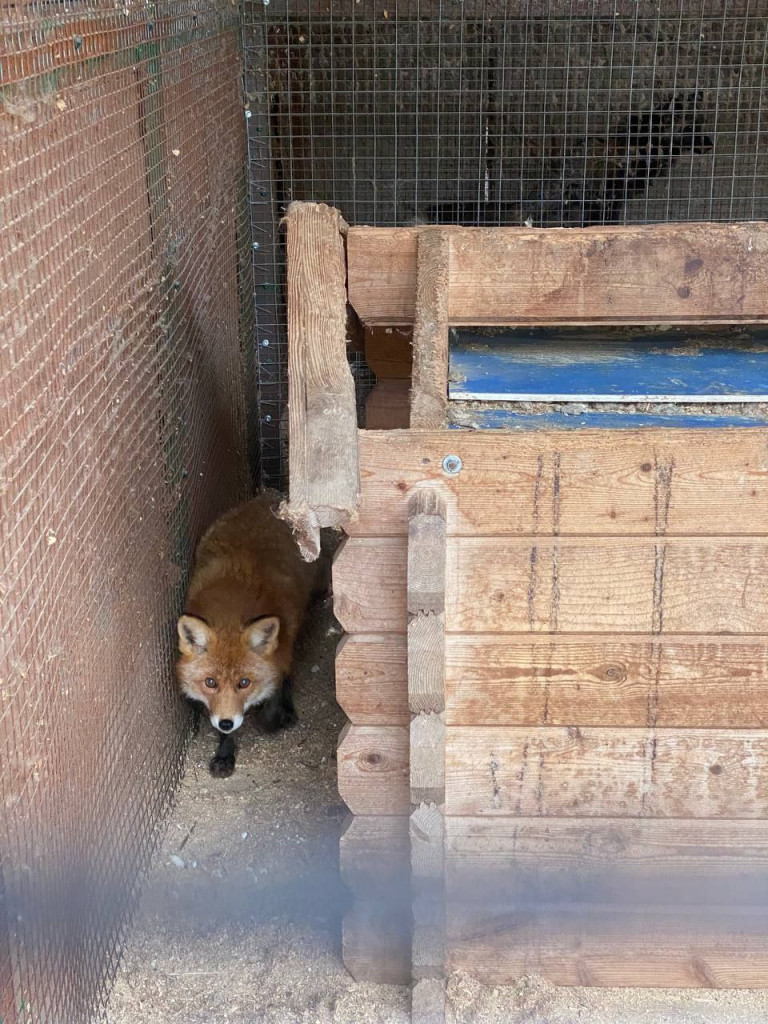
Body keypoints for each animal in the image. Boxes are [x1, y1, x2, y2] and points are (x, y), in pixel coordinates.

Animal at [177, 493, 319, 774]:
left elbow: (274, 694)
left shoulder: (281, 652)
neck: (231, 613)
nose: (226, 723)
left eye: (244, 683)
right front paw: (225, 753)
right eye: (210, 682)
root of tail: (267, 498)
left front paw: (276, 716)